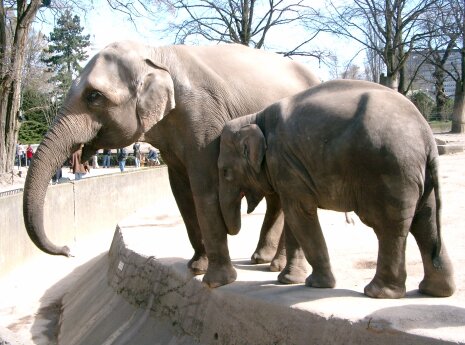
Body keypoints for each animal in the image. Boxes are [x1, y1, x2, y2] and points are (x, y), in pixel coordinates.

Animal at [21, 41, 320, 288]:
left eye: (94, 96)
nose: (68, 250)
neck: (154, 53)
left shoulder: (204, 122)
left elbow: (205, 188)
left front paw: (216, 282)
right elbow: (181, 191)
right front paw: (196, 268)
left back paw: (278, 269)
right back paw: (263, 260)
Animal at [218, 79, 454, 296]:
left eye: (225, 172)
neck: (255, 117)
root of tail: (427, 137)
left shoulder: (284, 163)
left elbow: (299, 213)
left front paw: (316, 284)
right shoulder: (289, 169)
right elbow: (294, 217)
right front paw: (289, 280)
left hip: (389, 170)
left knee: (388, 226)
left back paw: (377, 293)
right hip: (416, 173)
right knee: (426, 221)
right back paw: (434, 291)